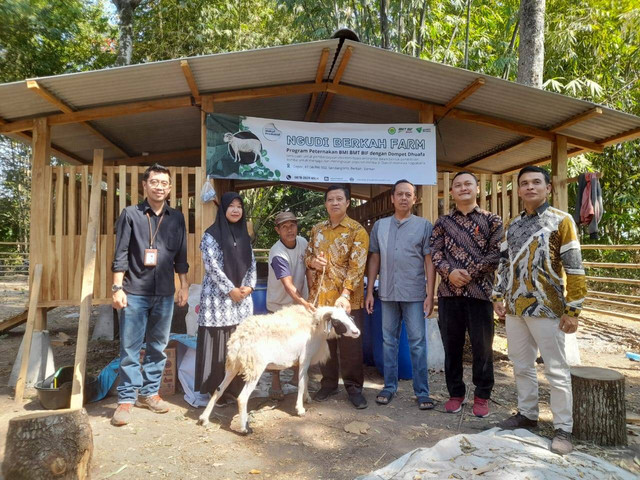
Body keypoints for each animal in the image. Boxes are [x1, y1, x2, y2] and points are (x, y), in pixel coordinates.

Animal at [196, 304, 360, 436]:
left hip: (233, 365)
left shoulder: (302, 361)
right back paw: (244, 429)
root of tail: (239, 340)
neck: (314, 327)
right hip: (255, 367)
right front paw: (300, 409)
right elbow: (301, 382)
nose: (357, 332)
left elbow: (306, 379)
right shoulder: (304, 358)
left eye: (350, 317)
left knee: (218, 389)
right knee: (242, 398)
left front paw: (307, 398)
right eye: (336, 322)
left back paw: (204, 419)